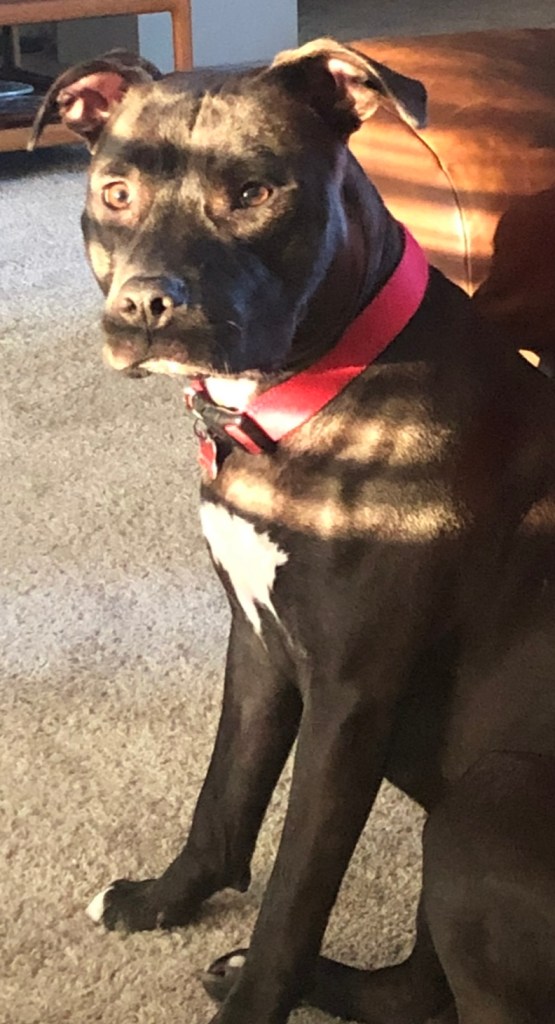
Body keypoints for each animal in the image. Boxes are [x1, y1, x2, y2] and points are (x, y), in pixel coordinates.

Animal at [31, 39, 555, 1024]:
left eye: (253, 192)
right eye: (115, 191)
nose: (147, 305)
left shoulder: (351, 699)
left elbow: (294, 894)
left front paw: (255, 997)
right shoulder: (258, 641)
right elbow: (224, 798)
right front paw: (162, 903)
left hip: (476, 815)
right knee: (416, 987)